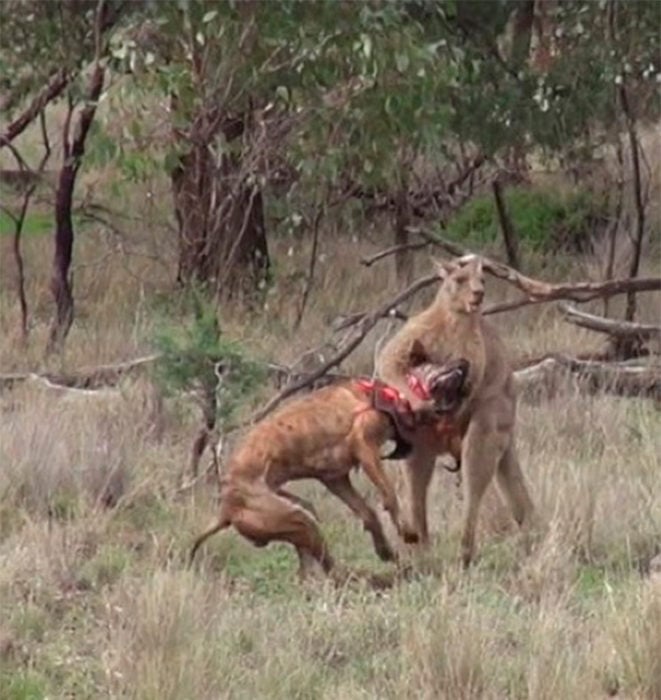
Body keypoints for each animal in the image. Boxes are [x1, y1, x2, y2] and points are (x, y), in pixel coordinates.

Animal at [188, 358, 470, 584]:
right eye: (435, 363)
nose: (464, 362)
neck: (393, 395)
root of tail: (225, 510)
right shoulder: (365, 447)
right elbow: (389, 495)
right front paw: (407, 532)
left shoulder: (336, 478)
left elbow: (368, 514)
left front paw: (384, 549)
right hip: (297, 518)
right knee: (329, 566)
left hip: (301, 513)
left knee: (311, 561)